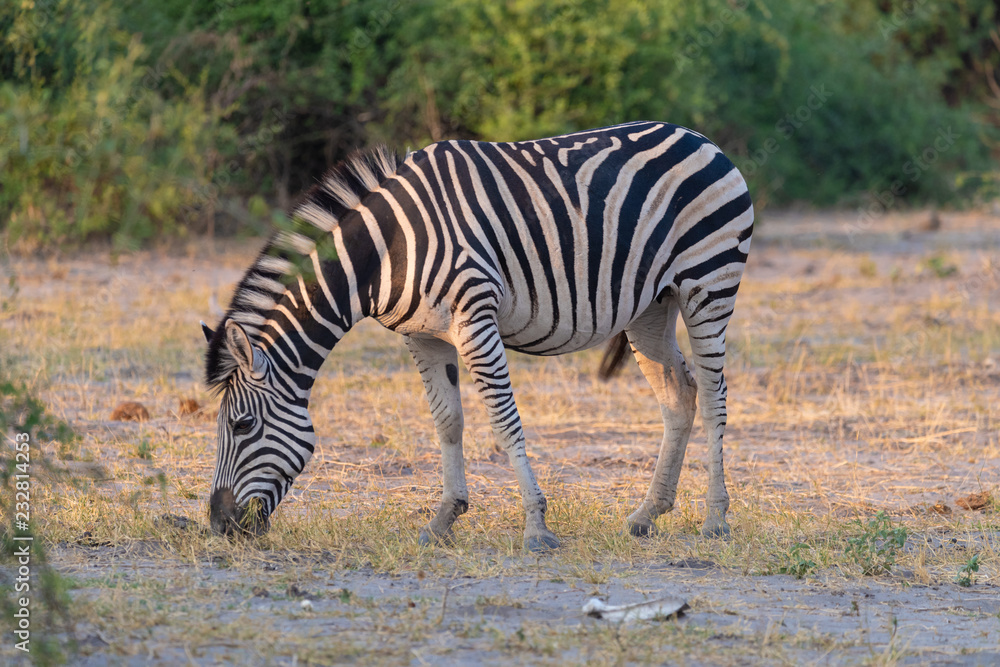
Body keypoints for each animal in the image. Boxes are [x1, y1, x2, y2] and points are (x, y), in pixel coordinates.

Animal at [202, 121, 753, 551]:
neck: (386, 252)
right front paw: (443, 519)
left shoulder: (476, 317)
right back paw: (646, 514)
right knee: (678, 395)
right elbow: (448, 422)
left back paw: (715, 521)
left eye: (242, 426)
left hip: (708, 284)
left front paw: (536, 528)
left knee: (714, 395)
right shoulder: (422, 336)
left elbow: (504, 421)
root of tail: (700, 138)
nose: (220, 525)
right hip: (652, 306)